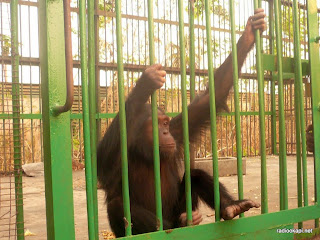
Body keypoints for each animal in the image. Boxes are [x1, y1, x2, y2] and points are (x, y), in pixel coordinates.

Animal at [97, 8, 268, 237]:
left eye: (165, 123)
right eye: (156, 125)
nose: (165, 133)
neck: (144, 151)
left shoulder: (178, 131)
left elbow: (211, 97)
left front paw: (250, 31)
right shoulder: (118, 157)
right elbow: (103, 160)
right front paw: (145, 83)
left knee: (195, 175)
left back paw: (231, 207)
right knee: (117, 205)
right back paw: (179, 224)